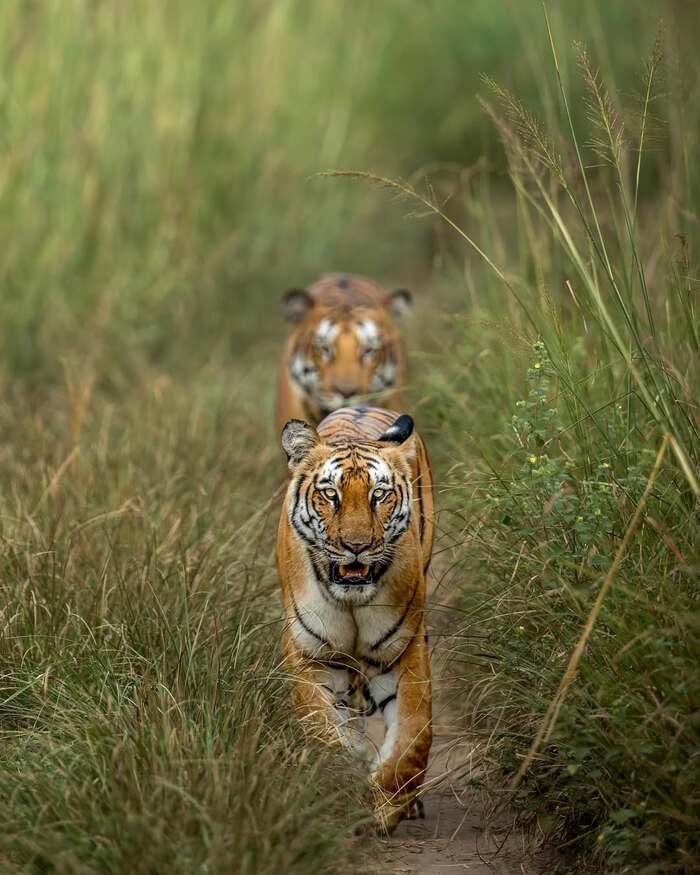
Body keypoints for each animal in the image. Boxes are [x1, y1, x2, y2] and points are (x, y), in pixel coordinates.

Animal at [276, 408, 434, 832]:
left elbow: (413, 740)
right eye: (330, 494)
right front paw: (345, 780)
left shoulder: (404, 650)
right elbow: (322, 729)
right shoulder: (309, 653)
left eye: (379, 494)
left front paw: (388, 806)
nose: (357, 546)